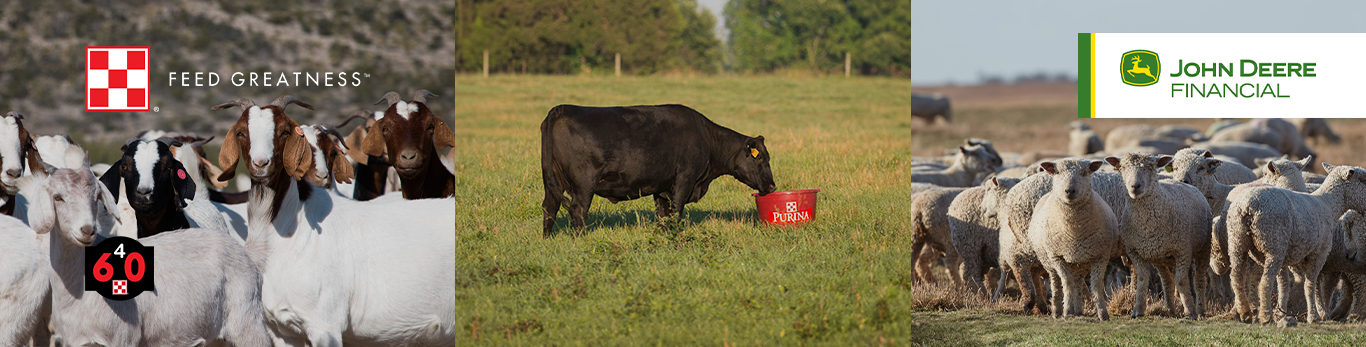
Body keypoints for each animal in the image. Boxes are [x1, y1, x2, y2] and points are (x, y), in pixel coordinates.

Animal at [543, 104, 781, 237]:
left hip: (552, 182)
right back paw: (581, 239)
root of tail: (562, 108)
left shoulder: (661, 187)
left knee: (549, 207)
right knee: (578, 210)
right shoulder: (684, 180)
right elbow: (676, 213)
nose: (772, 186)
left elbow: (663, 215)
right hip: (584, 184)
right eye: (760, 158)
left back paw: (547, 238)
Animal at [1103, 154, 1213, 319]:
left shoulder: (1183, 251)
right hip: (1159, 257)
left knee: (1199, 279)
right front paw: (1137, 310)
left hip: (1203, 248)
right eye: (1123, 167)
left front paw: (1189, 312)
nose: (1135, 186)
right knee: (1167, 280)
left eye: (1150, 168)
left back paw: (1200, 311)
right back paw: (1170, 310)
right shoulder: (1134, 252)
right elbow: (1142, 279)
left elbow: (1181, 281)